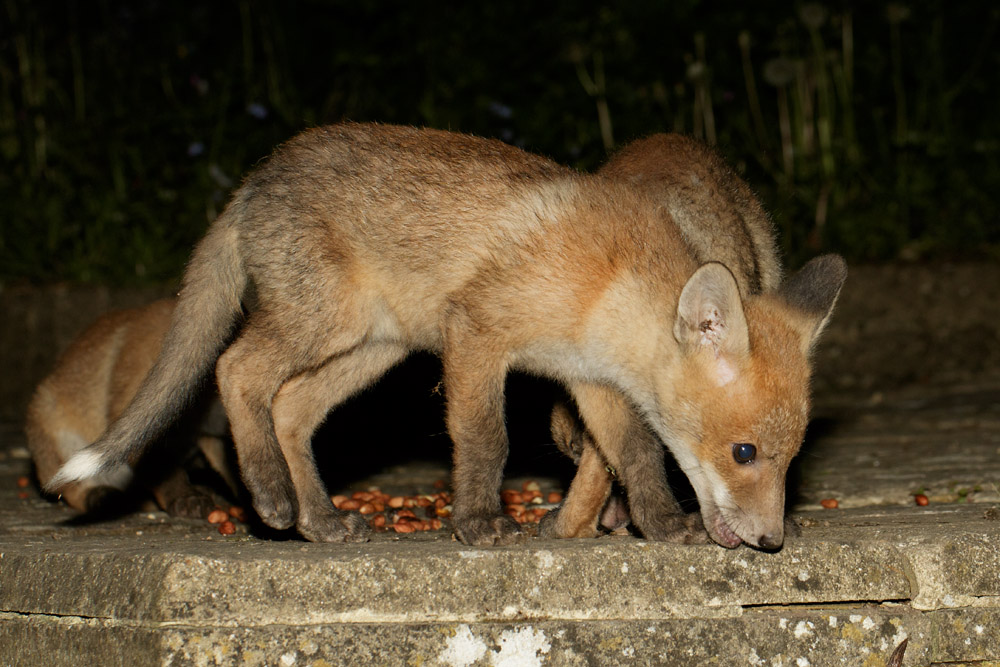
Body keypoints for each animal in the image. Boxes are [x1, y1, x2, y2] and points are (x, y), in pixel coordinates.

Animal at [26, 298, 236, 517]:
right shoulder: (135, 417)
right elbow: (163, 471)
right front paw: (185, 497)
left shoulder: (210, 436)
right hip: (55, 428)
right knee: (75, 492)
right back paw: (104, 498)